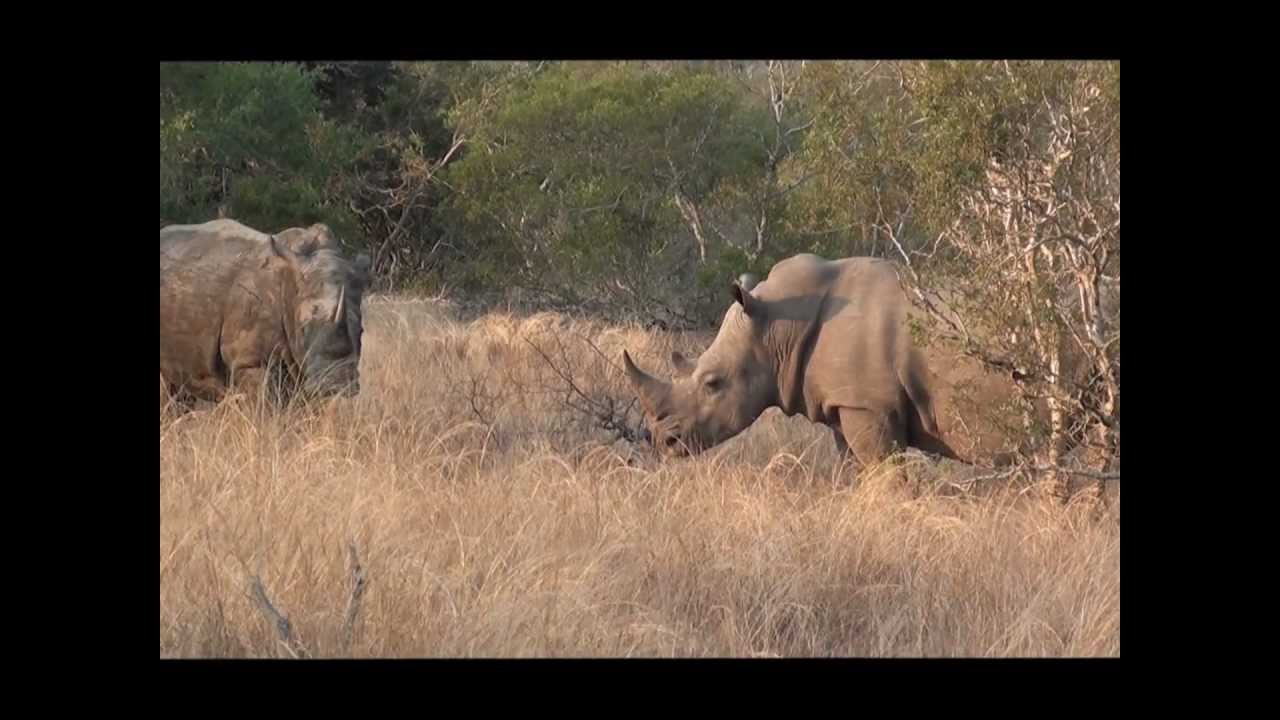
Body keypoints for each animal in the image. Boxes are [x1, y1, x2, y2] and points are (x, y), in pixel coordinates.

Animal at [622, 254, 963, 470]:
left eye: (713, 383)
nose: (665, 443)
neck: (778, 327)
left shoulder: (868, 405)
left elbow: (887, 476)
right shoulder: (843, 403)